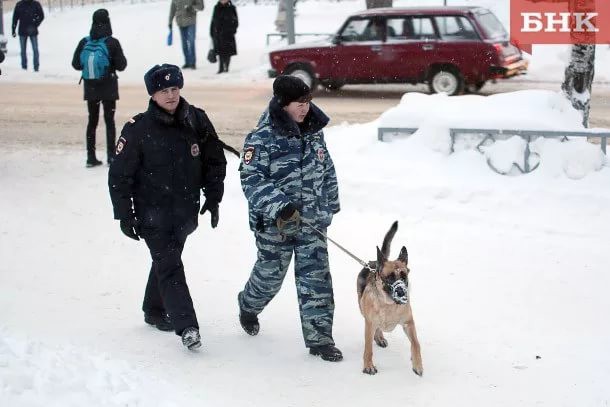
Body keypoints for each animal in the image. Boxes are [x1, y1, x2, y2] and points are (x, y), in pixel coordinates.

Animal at [356, 223, 422, 376]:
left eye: (404, 276)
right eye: (390, 277)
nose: (401, 291)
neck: (388, 305)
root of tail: (375, 262)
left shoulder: (409, 323)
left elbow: (416, 344)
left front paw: (417, 364)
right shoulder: (369, 324)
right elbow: (368, 348)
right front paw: (368, 366)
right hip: (363, 310)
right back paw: (379, 337)